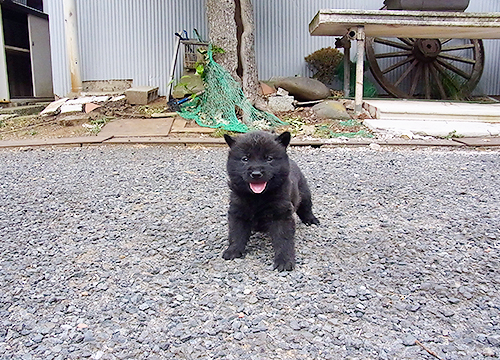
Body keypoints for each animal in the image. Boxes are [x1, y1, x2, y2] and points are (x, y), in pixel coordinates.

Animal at [224, 131, 320, 272]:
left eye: (269, 158)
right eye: (245, 159)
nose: (256, 173)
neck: (258, 197)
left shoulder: (281, 215)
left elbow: (283, 239)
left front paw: (284, 261)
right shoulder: (238, 211)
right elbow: (236, 233)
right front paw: (233, 251)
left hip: (304, 192)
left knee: (306, 208)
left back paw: (311, 220)